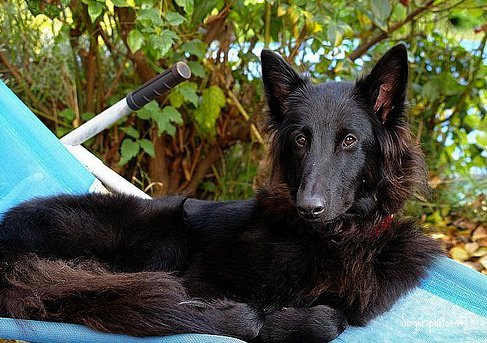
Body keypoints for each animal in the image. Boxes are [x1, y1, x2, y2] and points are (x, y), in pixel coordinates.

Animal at [0, 44, 442, 342]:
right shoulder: (199, 278)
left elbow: (334, 317)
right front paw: (275, 320)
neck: (333, 239)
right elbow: (303, 318)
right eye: (301, 139)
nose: (308, 208)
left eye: (349, 140)